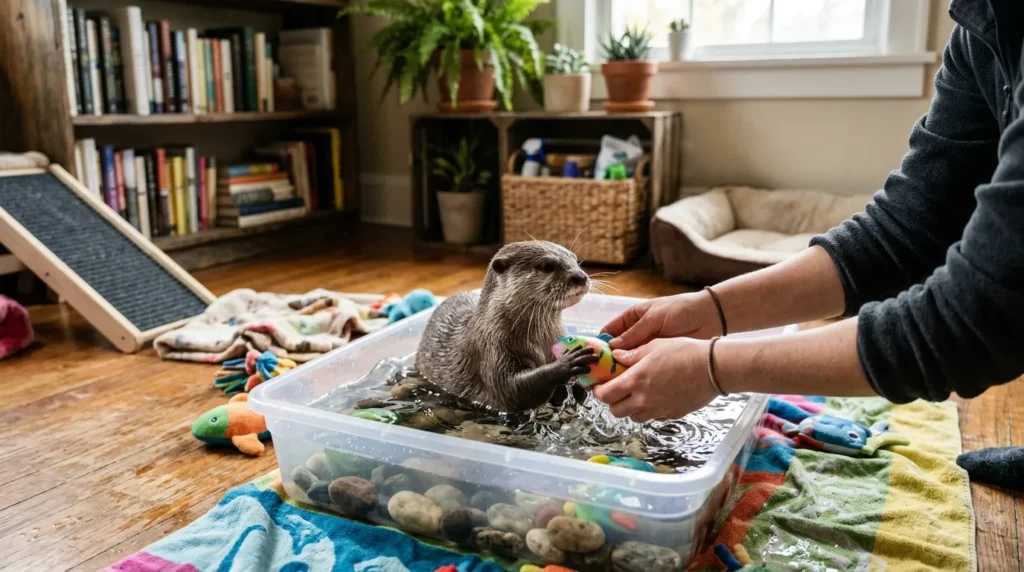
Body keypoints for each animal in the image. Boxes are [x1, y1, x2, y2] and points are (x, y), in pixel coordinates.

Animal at [415, 241, 599, 411]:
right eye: (547, 266)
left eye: (575, 260)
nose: (581, 276)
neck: (541, 341)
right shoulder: (492, 349)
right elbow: (512, 389)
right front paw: (567, 362)